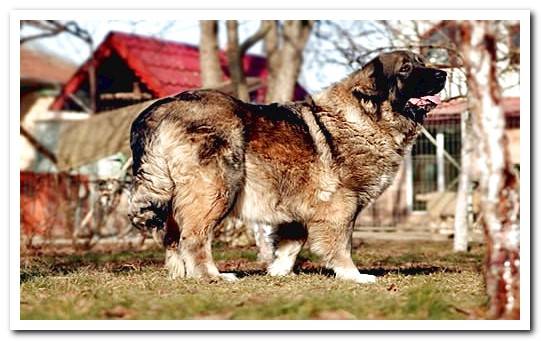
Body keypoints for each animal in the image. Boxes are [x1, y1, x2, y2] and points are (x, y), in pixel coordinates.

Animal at [129, 50, 446, 282]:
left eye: (422, 62)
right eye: (406, 69)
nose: (443, 73)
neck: (366, 116)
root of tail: (160, 108)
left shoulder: (298, 207)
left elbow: (291, 243)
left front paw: (278, 272)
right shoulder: (341, 205)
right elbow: (341, 244)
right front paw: (353, 275)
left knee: (171, 236)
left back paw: (180, 274)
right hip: (216, 190)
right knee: (194, 237)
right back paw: (212, 276)